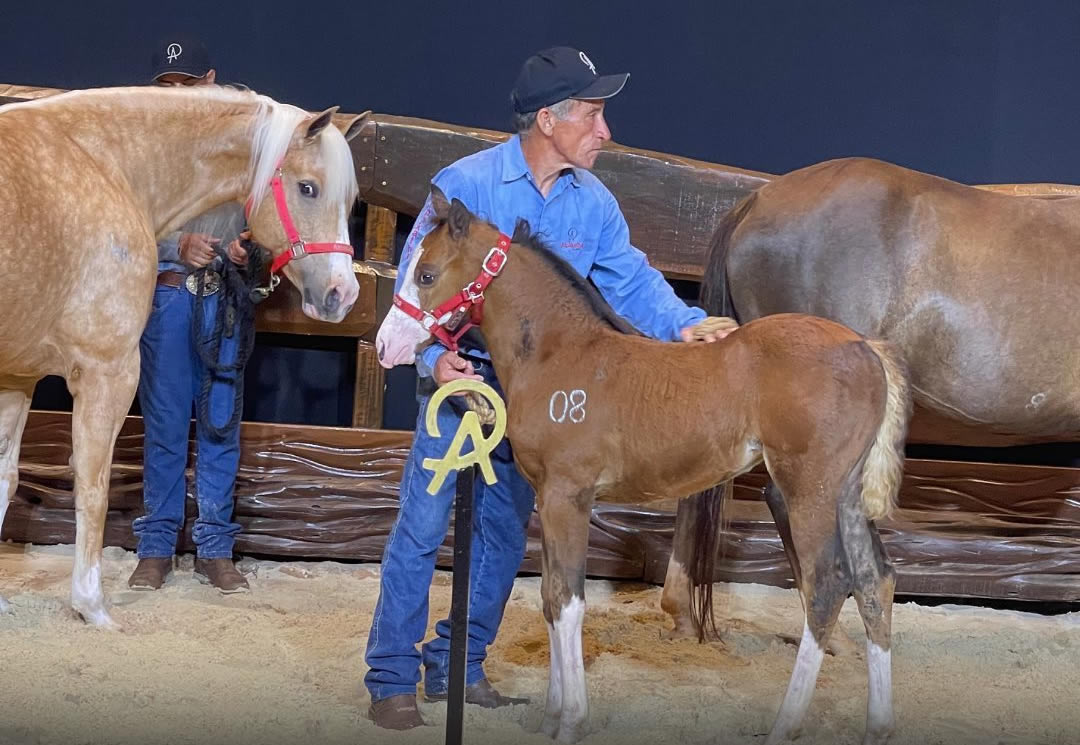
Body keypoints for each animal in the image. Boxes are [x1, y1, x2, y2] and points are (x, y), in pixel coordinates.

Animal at [0, 84, 367, 621]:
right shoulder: (107, 370)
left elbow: (4, 479)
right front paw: (91, 605)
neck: (105, 165)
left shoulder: (17, 375)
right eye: (307, 188)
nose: (343, 293)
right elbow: (93, 485)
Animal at [384, 185, 907, 742]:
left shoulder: (568, 495)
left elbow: (567, 601)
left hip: (808, 492)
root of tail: (864, 347)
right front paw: (550, 718)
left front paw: (572, 719)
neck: (558, 355)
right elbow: (548, 598)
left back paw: (783, 726)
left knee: (825, 588)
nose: (388, 343)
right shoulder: (547, 498)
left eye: (426, 274)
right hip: (847, 495)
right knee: (874, 582)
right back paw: (879, 726)